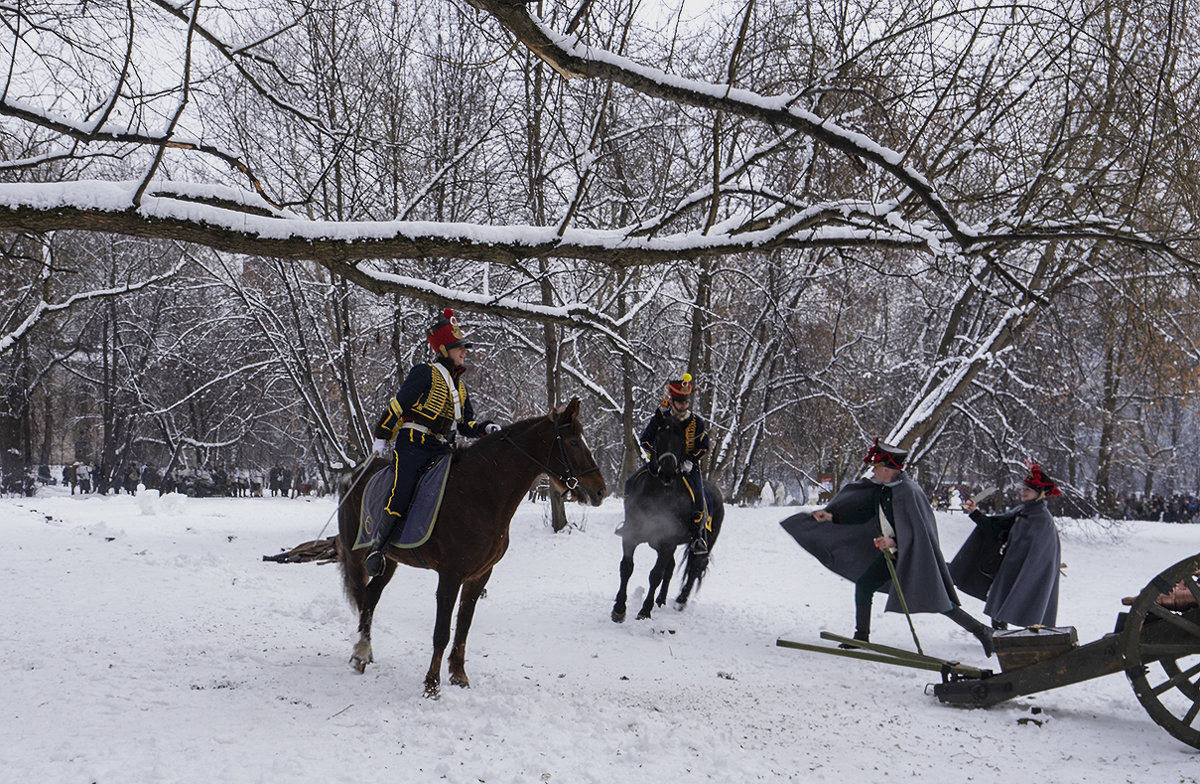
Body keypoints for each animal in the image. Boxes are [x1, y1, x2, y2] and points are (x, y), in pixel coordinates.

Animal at [336, 401, 604, 696]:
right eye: (573, 441)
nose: (600, 491)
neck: (480, 492)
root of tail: (355, 472)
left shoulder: (479, 576)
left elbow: (463, 626)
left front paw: (458, 674)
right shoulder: (450, 576)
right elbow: (442, 632)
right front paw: (432, 684)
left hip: (389, 561)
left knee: (371, 596)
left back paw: (364, 650)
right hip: (357, 554)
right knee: (363, 593)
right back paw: (361, 652)